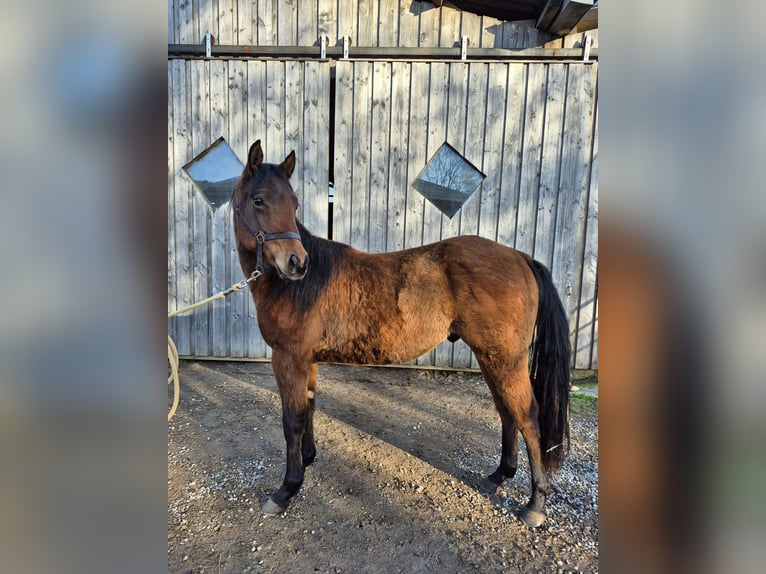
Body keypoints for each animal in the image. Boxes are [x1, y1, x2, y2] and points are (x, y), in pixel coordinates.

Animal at [231, 140, 571, 528]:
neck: (296, 287)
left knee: (527, 418)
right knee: (506, 412)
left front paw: (286, 490)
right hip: (492, 359)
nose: (297, 263)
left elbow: (292, 420)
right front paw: (308, 459)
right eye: (259, 200)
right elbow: (309, 409)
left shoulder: (288, 359)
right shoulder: (307, 361)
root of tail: (519, 257)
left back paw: (535, 505)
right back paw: (500, 474)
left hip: (506, 361)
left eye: (294, 204)